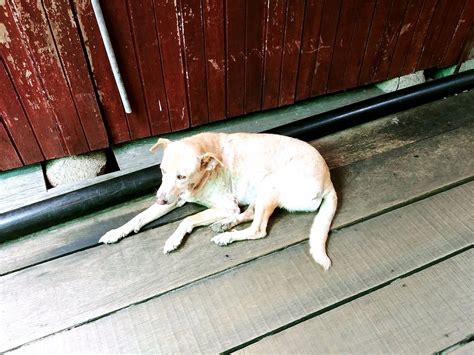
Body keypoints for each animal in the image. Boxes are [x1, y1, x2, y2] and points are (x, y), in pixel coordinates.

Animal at [99, 133, 336, 270]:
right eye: (162, 171)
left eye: (182, 176)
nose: (160, 200)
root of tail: (329, 181)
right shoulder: (175, 198)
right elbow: (139, 217)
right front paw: (117, 232)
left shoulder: (225, 205)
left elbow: (187, 220)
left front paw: (174, 240)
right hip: (261, 191)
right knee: (248, 214)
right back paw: (225, 225)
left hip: (270, 184)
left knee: (258, 229)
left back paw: (226, 237)